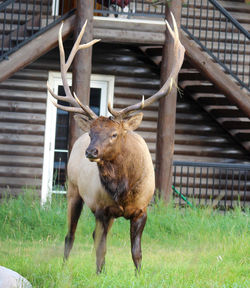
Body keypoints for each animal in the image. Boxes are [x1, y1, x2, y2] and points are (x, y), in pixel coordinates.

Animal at [47, 14, 184, 274]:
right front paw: (99, 275)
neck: (123, 190)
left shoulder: (141, 210)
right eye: (92, 132)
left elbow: (136, 253)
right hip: (73, 190)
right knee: (70, 235)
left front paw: (138, 276)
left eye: (114, 134)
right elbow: (101, 251)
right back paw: (64, 269)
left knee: (90, 236)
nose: (91, 151)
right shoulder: (102, 210)